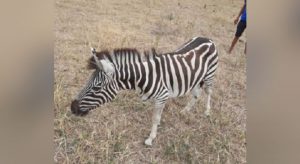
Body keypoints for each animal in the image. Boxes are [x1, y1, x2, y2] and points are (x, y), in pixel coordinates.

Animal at [71, 36, 219, 145]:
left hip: (209, 74)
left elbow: (155, 117)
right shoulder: (161, 98)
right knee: (196, 94)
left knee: (208, 92)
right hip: (197, 76)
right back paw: (185, 110)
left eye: (97, 87)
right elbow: (158, 116)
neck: (144, 76)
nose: (72, 108)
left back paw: (207, 112)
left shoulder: (162, 96)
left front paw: (151, 138)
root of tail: (207, 39)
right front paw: (157, 128)